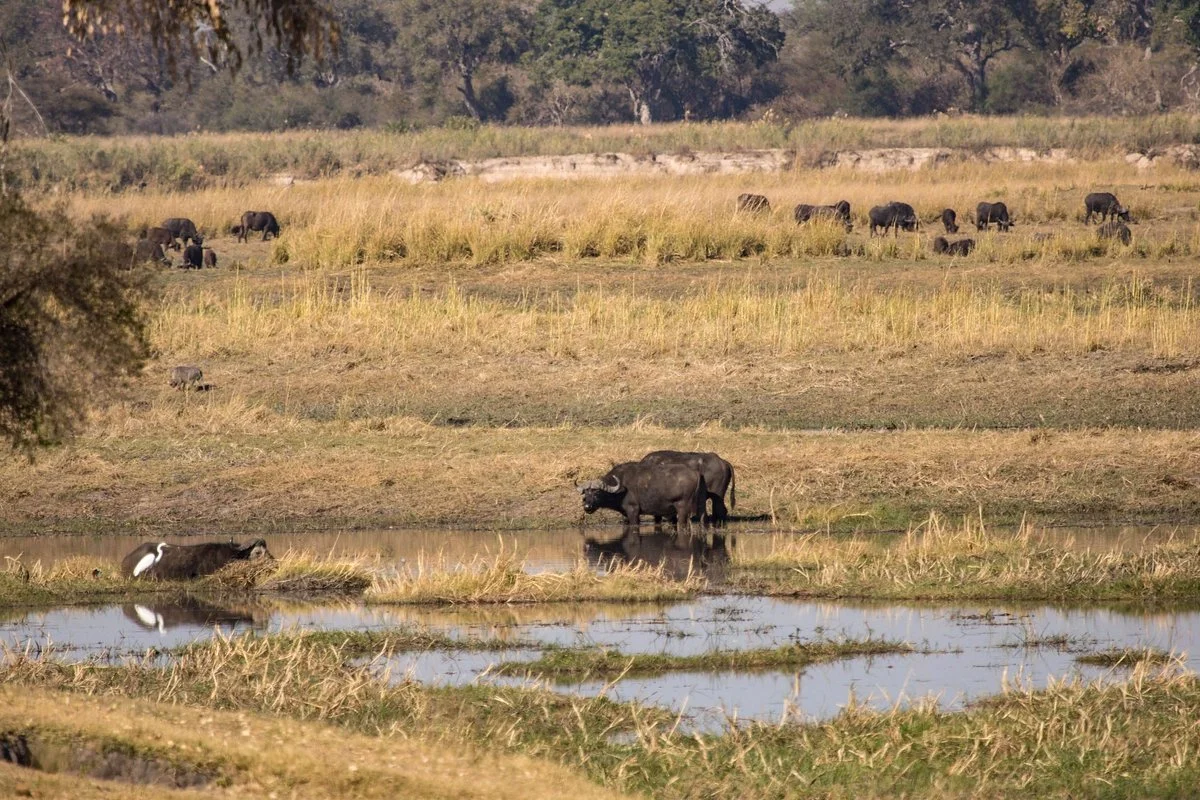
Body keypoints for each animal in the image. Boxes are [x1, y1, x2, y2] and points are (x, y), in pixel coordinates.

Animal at [577, 461, 706, 532]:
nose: (587, 507)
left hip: (682, 508)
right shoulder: (625, 514)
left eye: (597, 492)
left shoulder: (633, 510)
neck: (621, 487)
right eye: (585, 493)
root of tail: (695, 472)